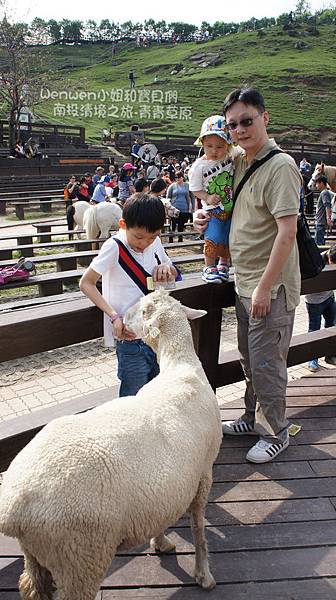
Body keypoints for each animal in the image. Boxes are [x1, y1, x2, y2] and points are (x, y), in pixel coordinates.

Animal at [0, 288, 223, 596]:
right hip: (80, 554)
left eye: (142, 309)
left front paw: (161, 542)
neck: (180, 367)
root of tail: (13, 507)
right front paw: (204, 574)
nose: (121, 319)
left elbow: (168, 517)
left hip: (37, 555)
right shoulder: (203, 475)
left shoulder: (164, 487)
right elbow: (199, 528)